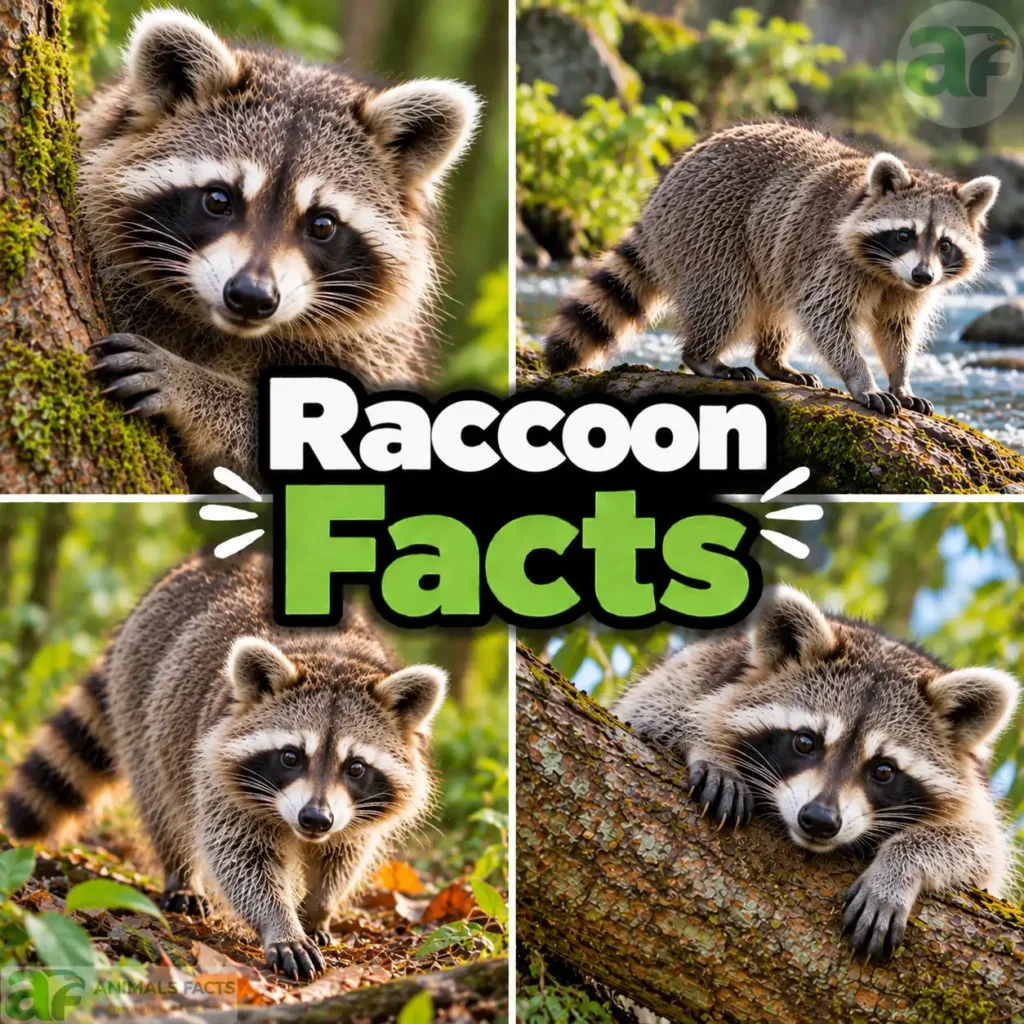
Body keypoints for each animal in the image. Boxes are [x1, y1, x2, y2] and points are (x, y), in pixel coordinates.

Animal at [3, 553, 446, 981]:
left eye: (355, 767)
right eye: (291, 756)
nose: (315, 819)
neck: (331, 659)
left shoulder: (355, 808)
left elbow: (345, 854)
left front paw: (318, 908)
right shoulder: (217, 774)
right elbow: (240, 857)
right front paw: (280, 923)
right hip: (140, 709)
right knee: (162, 801)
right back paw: (180, 872)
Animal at [80, 9, 481, 486]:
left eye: (322, 224)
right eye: (218, 200)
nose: (251, 297)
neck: (226, 331)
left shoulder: (377, 351)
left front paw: (191, 384)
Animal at [544, 123, 1001, 416]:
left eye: (944, 244)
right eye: (905, 235)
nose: (923, 276)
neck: (888, 271)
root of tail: (661, 192)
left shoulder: (904, 288)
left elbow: (897, 329)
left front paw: (900, 378)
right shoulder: (831, 256)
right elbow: (825, 315)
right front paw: (862, 379)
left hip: (773, 256)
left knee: (776, 307)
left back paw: (772, 360)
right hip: (706, 228)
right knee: (725, 294)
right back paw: (703, 356)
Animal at [612, 586, 1019, 960]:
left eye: (883, 770)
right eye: (806, 742)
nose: (820, 820)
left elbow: (981, 847)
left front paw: (901, 864)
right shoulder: (709, 666)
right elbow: (650, 709)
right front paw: (709, 747)